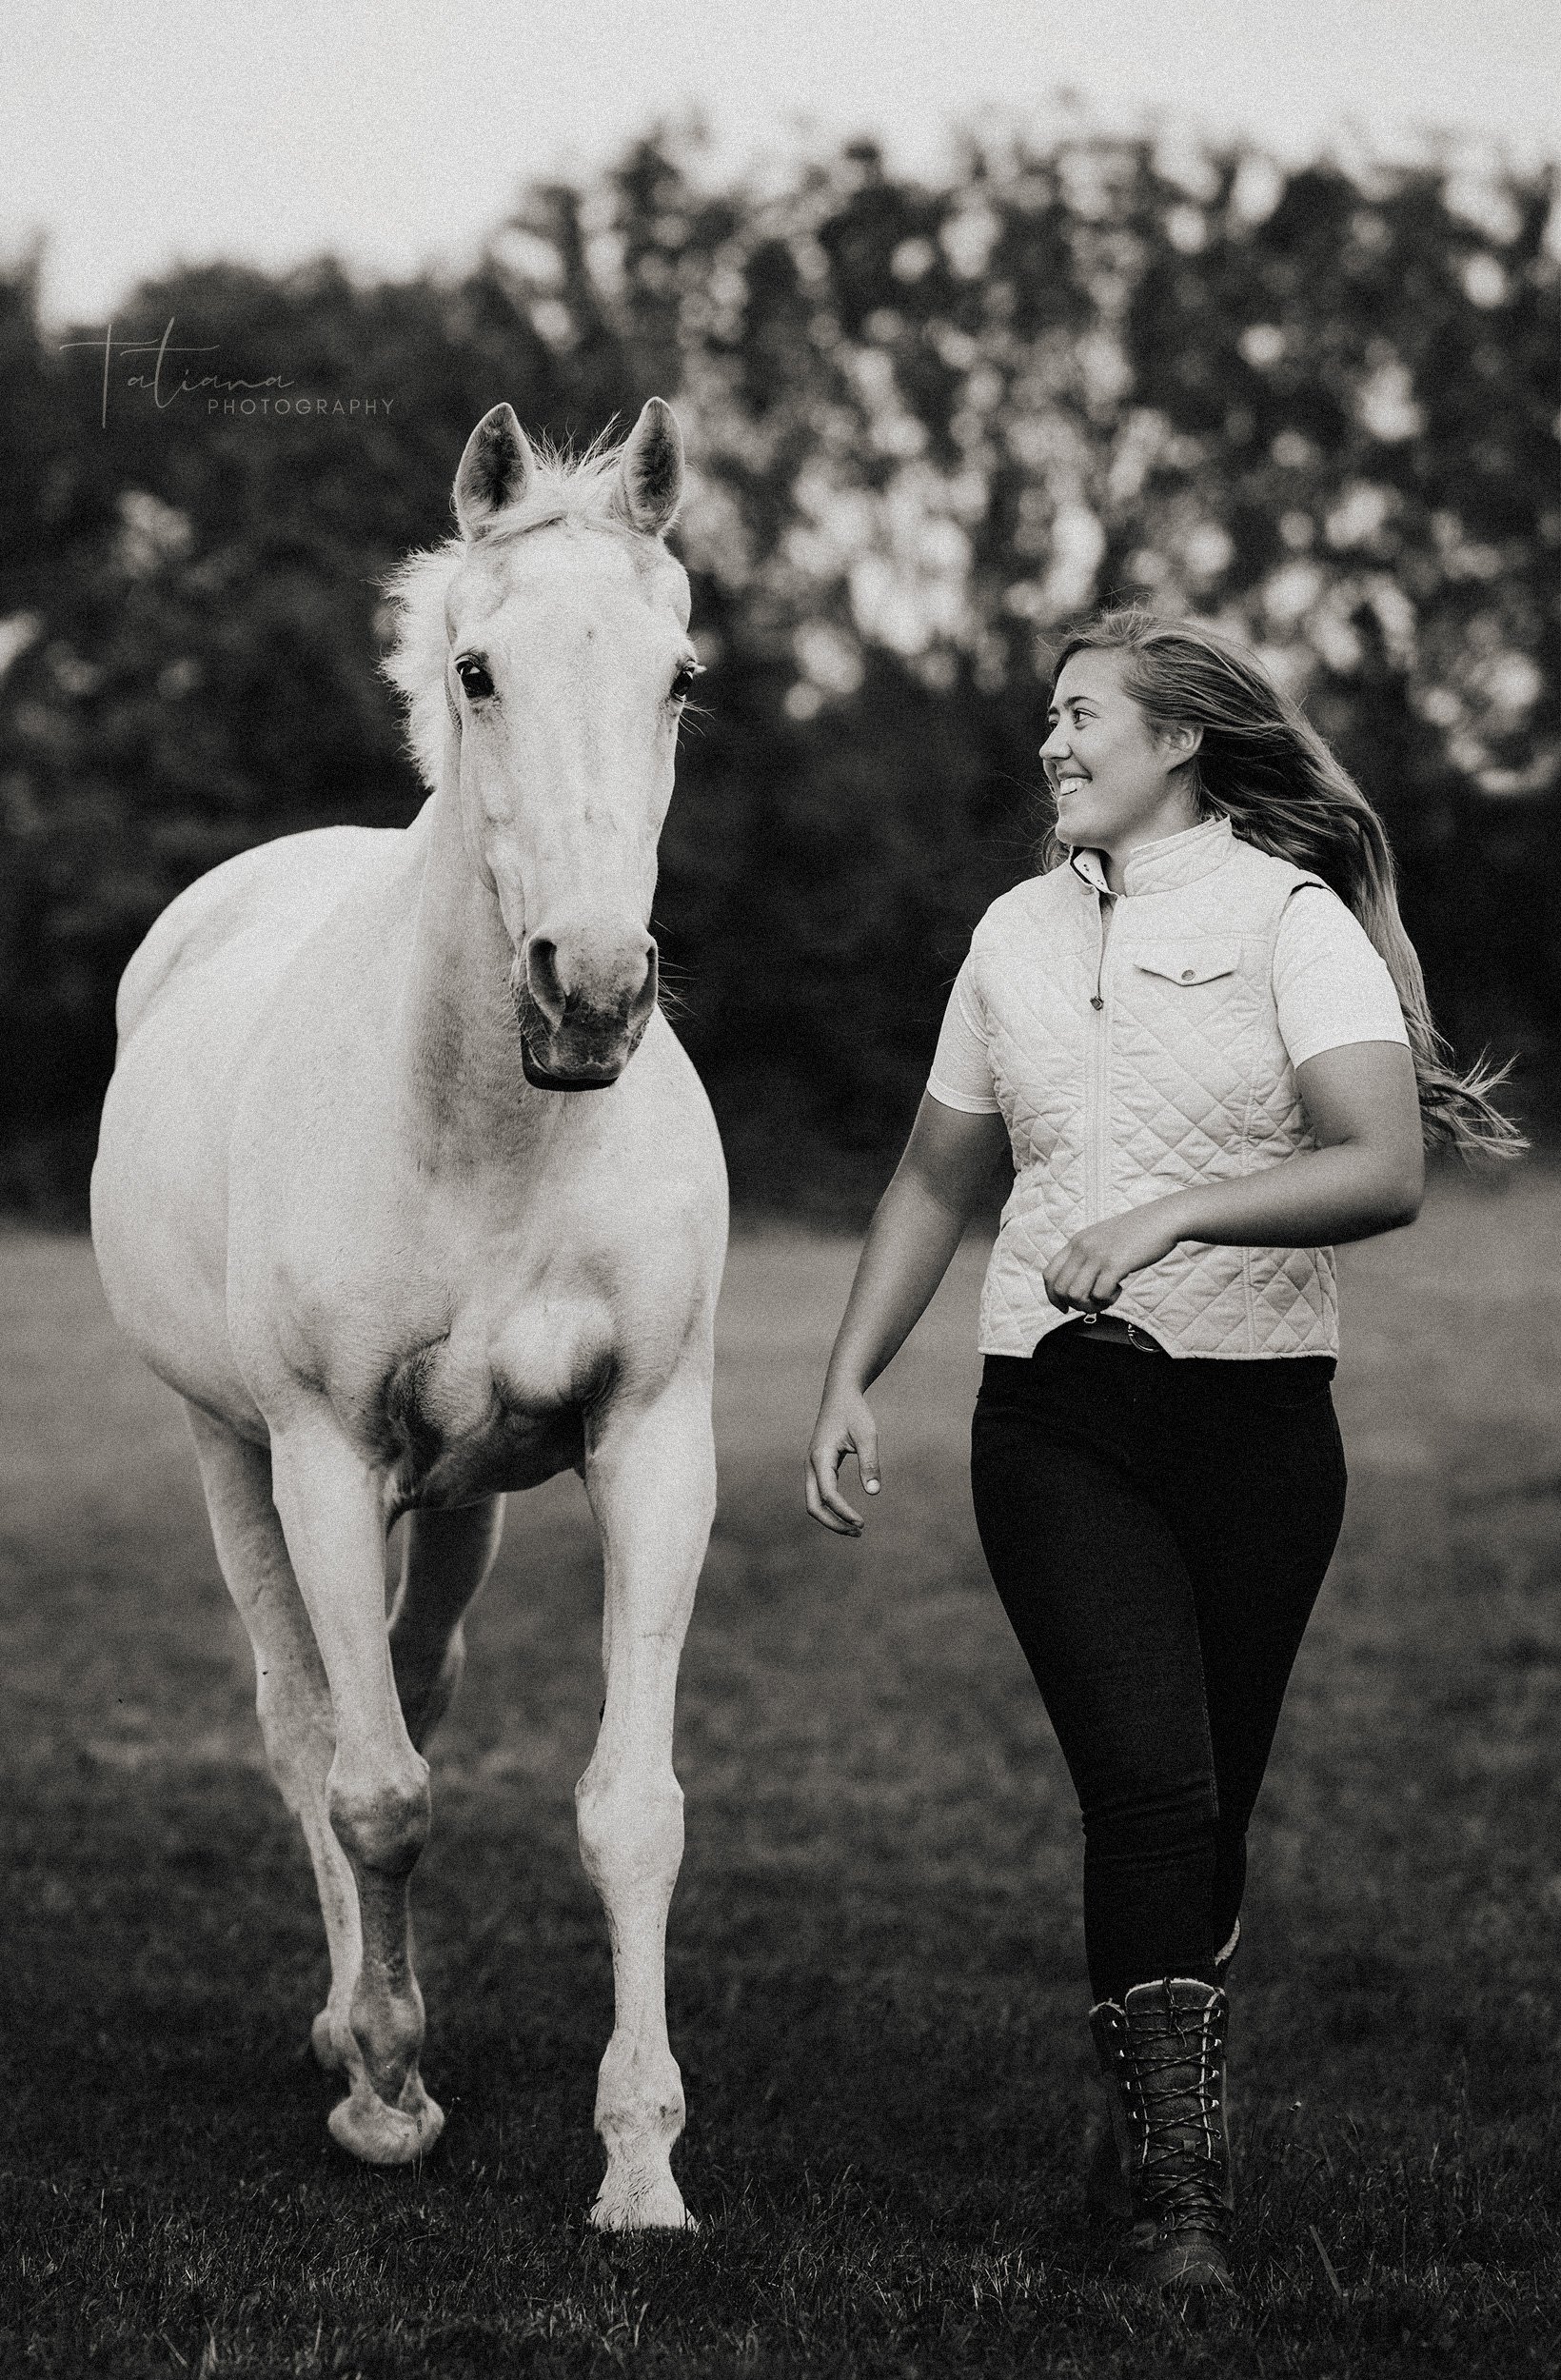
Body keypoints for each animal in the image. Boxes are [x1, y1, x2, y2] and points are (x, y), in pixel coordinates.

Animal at [90, 398, 728, 2230]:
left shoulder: (653, 1446)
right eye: (477, 670)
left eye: (679, 676)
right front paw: (385, 2095)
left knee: (413, 1680)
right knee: (309, 1720)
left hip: (459, 1500)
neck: (496, 1133)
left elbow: (630, 1811)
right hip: (233, 1452)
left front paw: (641, 2165)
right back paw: (349, 2025)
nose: (592, 990)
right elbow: (370, 1792)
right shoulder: (318, 1452)